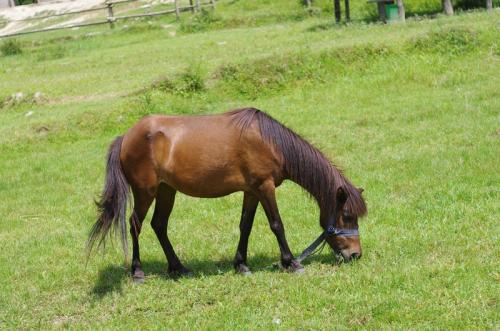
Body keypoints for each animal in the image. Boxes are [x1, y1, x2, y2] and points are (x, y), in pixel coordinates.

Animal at [87, 107, 368, 282]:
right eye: (346, 215)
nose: (355, 254)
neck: (269, 141)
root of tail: (126, 136)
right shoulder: (265, 187)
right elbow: (277, 225)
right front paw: (291, 263)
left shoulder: (252, 191)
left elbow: (246, 226)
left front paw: (241, 265)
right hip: (146, 192)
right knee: (136, 225)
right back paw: (138, 272)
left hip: (167, 191)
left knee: (159, 225)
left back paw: (178, 268)